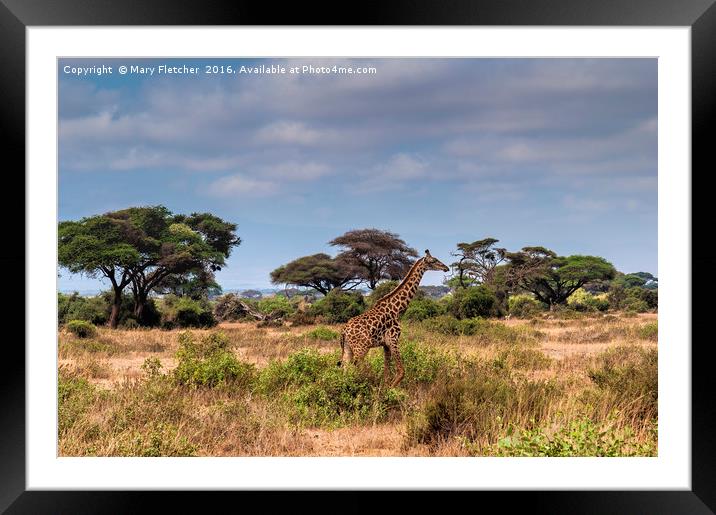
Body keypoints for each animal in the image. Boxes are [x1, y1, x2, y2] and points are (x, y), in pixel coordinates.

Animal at [340, 250, 450, 388]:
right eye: (433, 260)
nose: (446, 268)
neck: (397, 309)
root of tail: (344, 331)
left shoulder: (385, 344)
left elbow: (387, 371)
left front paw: (385, 387)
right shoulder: (393, 339)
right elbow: (401, 371)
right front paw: (391, 389)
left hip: (348, 348)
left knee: (346, 368)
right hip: (361, 348)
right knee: (357, 368)